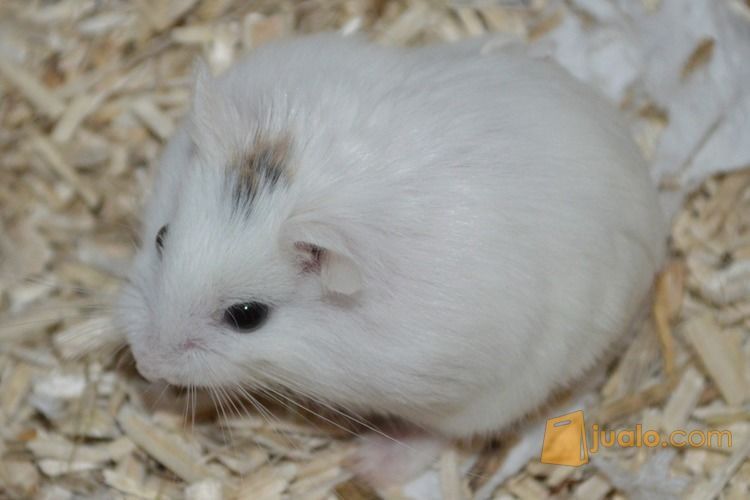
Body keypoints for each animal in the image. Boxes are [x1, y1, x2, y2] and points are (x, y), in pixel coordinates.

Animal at [117, 34, 666, 483]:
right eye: (162, 237)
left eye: (247, 317)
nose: (144, 363)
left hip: (507, 385)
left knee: (447, 432)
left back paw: (367, 466)